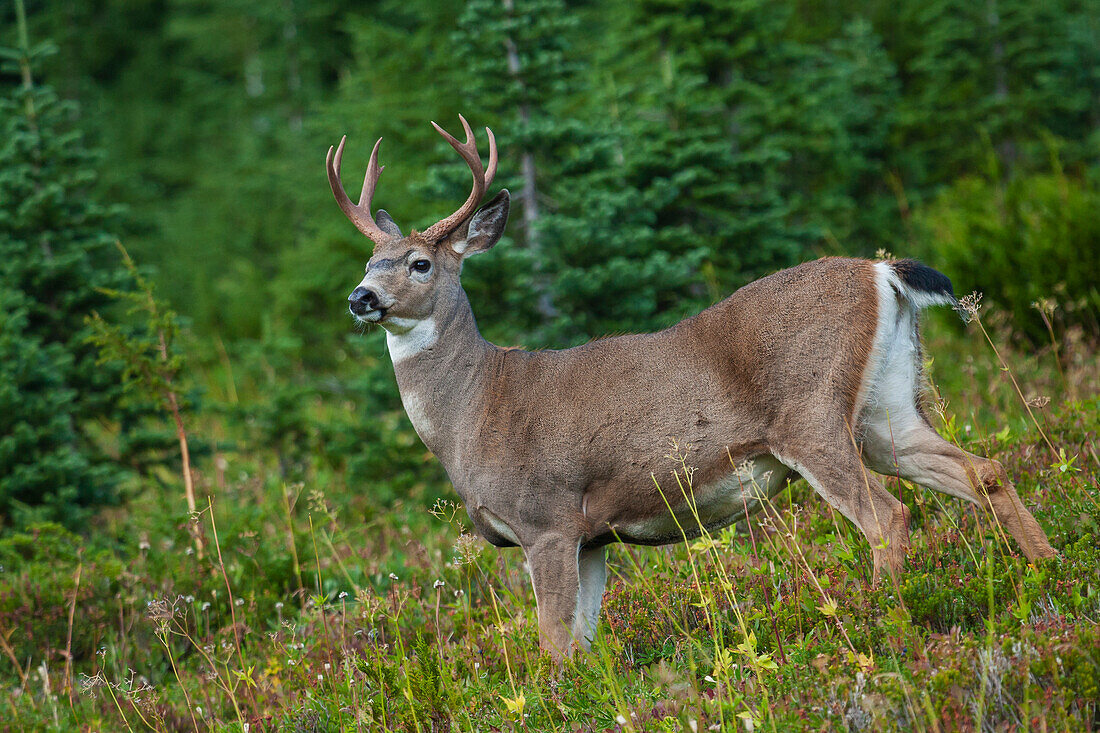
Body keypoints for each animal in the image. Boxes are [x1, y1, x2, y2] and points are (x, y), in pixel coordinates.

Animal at [325, 117, 1056, 660]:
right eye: (368, 261)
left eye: (419, 262)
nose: (360, 298)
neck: (474, 408)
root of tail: (880, 274)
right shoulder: (593, 536)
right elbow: (582, 647)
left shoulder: (548, 518)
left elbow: (553, 645)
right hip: (885, 410)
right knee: (982, 468)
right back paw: (1050, 570)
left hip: (810, 415)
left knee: (888, 516)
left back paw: (884, 620)